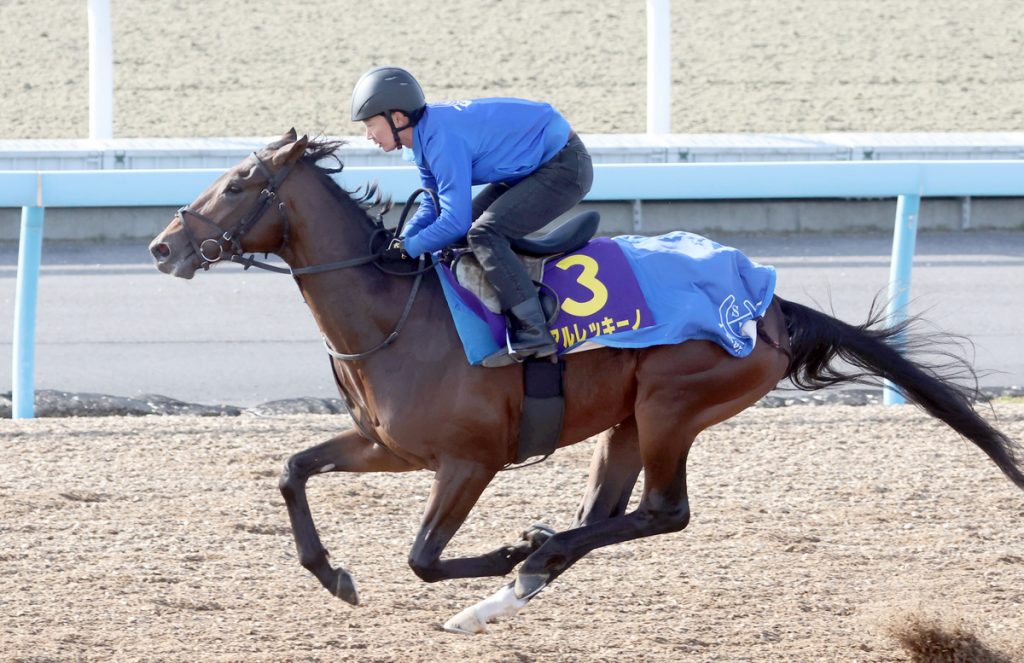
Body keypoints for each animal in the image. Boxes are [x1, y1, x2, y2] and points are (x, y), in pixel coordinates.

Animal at [146, 128, 1024, 631]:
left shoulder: (470, 461)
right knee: (609, 512)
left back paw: (528, 558)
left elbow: (423, 557)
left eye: (235, 182)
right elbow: (293, 468)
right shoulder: (387, 445)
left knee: (663, 512)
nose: (161, 246)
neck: (393, 312)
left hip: (673, 403)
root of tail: (769, 302)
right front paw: (332, 572)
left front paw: (503, 547)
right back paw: (524, 575)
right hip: (628, 418)